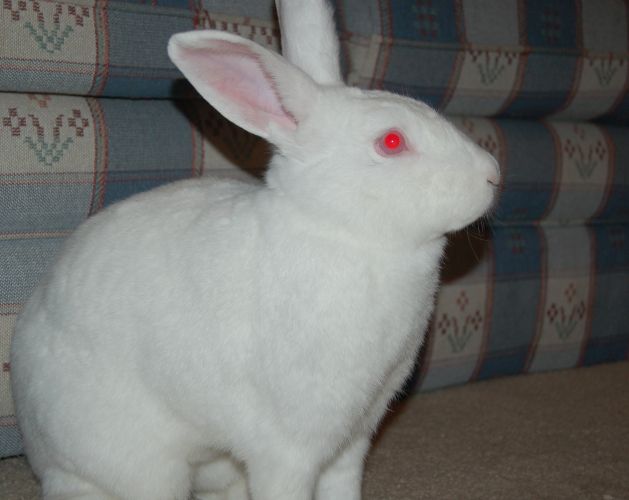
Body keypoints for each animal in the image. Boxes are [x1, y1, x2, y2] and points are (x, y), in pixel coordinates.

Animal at [9, 0, 498, 500]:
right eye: (392, 141)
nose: (493, 175)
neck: (342, 232)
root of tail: (39, 451)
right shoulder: (289, 447)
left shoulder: (352, 439)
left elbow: (342, 486)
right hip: (139, 465)